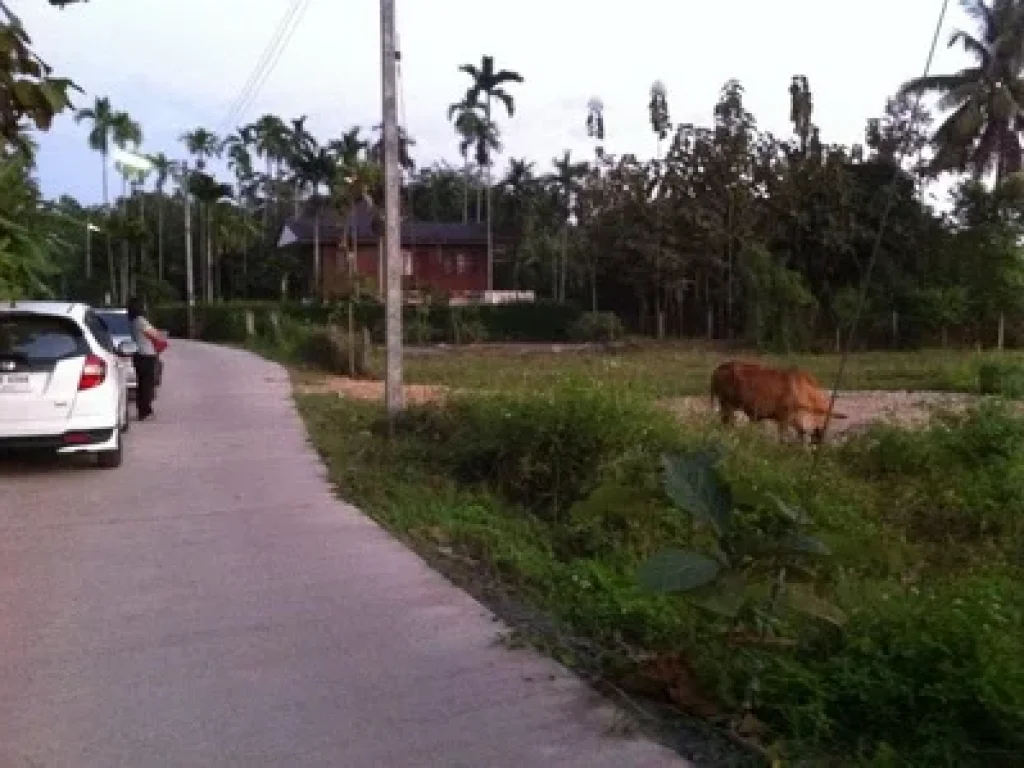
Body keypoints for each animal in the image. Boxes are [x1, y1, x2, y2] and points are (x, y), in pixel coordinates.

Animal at [712, 360, 847, 444]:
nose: (819, 440)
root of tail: (720, 368)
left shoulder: (796, 420)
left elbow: (801, 434)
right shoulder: (784, 418)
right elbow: (783, 439)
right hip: (727, 404)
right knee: (726, 423)